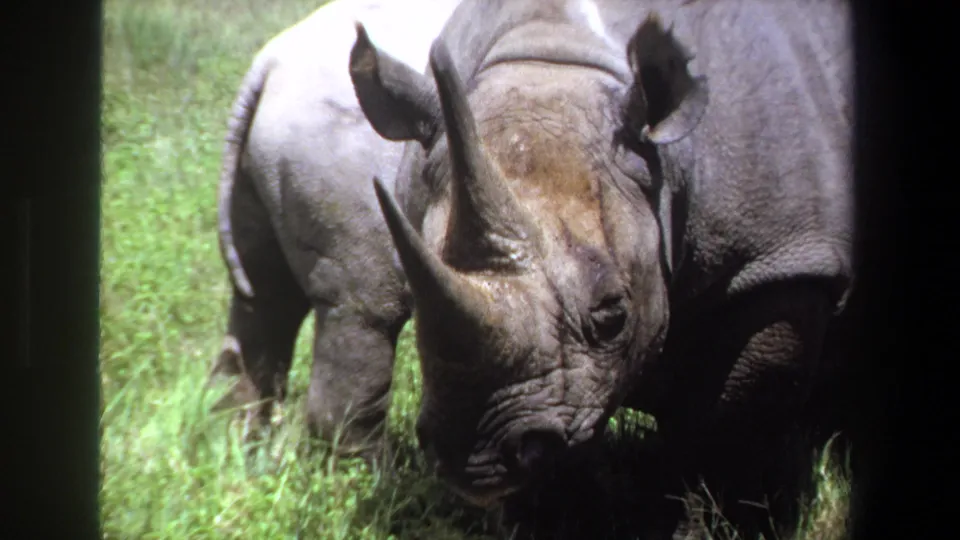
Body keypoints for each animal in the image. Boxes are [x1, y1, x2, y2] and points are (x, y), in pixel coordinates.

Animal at [209, 0, 462, 457]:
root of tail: (268, 65)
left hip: (258, 175)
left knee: (263, 301)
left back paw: (240, 449)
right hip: (344, 170)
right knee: (365, 313)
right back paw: (382, 469)